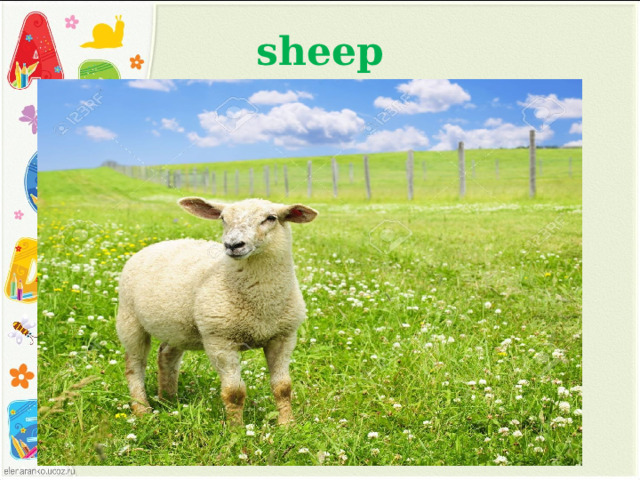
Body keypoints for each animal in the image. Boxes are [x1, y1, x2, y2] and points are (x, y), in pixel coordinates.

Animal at [116, 197, 318, 426]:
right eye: (222, 218)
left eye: (271, 218)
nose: (233, 245)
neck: (262, 306)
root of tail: (158, 244)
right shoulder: (220, 340)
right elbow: (234, 392)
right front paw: (236, 429)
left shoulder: (283, 337)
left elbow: (283, 387)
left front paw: (287, 425)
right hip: (129, 319)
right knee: (134, 365)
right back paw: (142, 409)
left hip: (177, 326)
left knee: (166, 355)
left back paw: (169, 400)